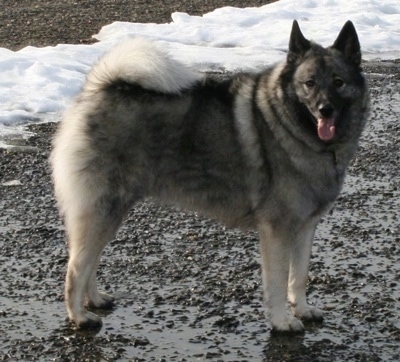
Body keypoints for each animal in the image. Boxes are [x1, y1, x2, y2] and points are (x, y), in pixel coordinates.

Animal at [50, 19, 368, 330]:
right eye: (309, 83)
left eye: (338, 82)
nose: (325, 110)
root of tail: (97, 90)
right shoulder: (277, 231)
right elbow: (278, 283)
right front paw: (281, 321)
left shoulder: (305, 227)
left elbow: (298, 276)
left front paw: (301, 309)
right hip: (103, 209)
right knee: (76, 269)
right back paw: (79, 316)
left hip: (108, 214)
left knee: (90, 262)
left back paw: (94, 300)